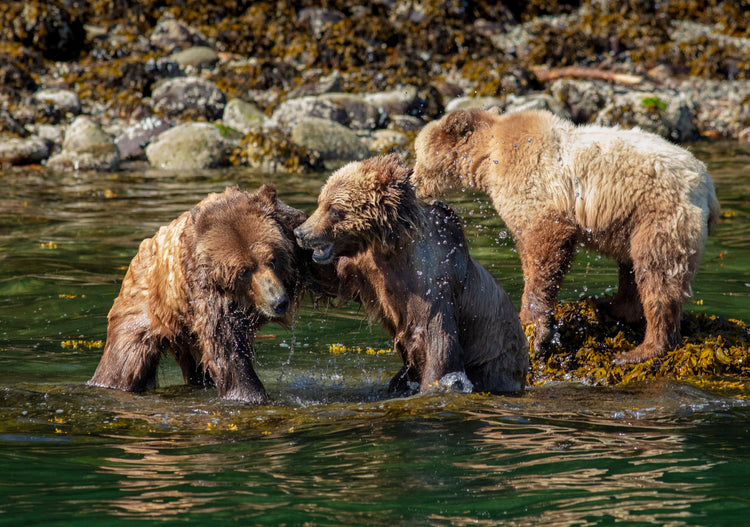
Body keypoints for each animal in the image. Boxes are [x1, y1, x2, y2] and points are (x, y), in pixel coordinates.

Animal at [88, 184, 316, 404]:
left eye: (273, 260)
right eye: (244, 271)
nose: (279, 301)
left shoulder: (295, 238)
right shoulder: (207, 293)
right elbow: (227, 351)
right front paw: (253, 395)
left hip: (190, 337)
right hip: (142, 310)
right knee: (124, 363)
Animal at [294, 154, 529, 395]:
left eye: (334, 209)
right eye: (321, 201)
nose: (301, 233)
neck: (393, 249)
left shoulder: (432, 280)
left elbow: (438, 344)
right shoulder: (367, 270)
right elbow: (332, 279)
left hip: (494, 359)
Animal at [412, 108, 720, 364]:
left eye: (416, 154)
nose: (414, 182)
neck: (487, 158)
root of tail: (708, 188)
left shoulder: (533, 187)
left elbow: (543, 246)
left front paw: (534, 328)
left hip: (658, 213)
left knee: (657, 274)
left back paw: (641, 350)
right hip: (630, 220)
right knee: (632, 268)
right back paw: (610, 306)